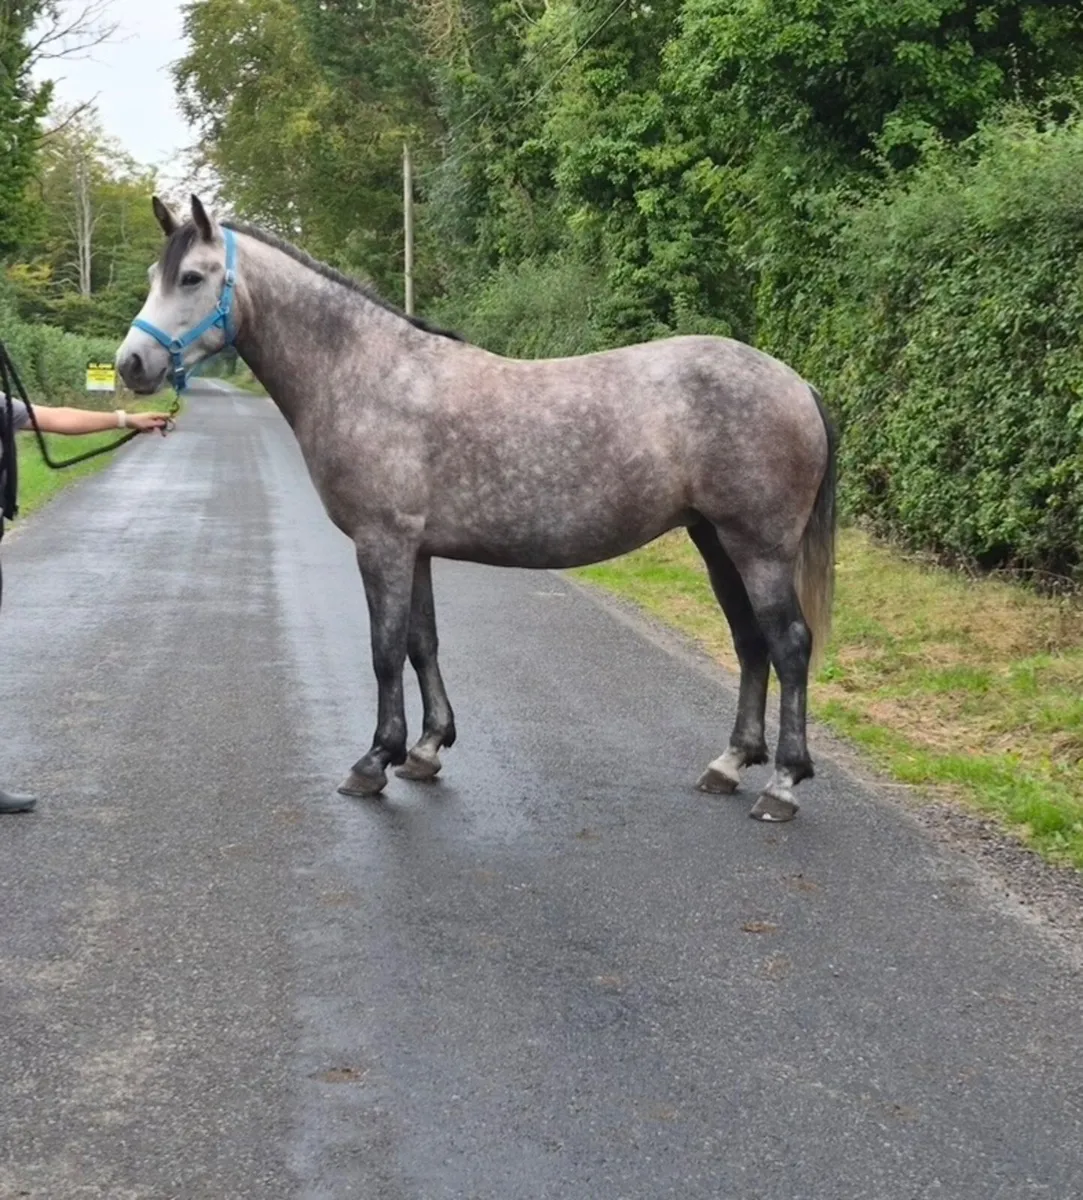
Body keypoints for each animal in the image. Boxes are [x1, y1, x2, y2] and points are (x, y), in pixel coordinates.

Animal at [115, 195, 836, 823]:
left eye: (191, 276)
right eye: (155, 275)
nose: (131, 363)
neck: (367, 376)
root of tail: (795, 382)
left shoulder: (382, 544)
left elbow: (383, 650)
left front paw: (374, 761)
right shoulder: (415, 549)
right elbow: (422, 644)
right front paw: (427, 750)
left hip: (757, 547)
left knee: (789, 645)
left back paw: (782, 784)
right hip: (714, 541)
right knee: (750, 644)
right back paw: (729, 764)